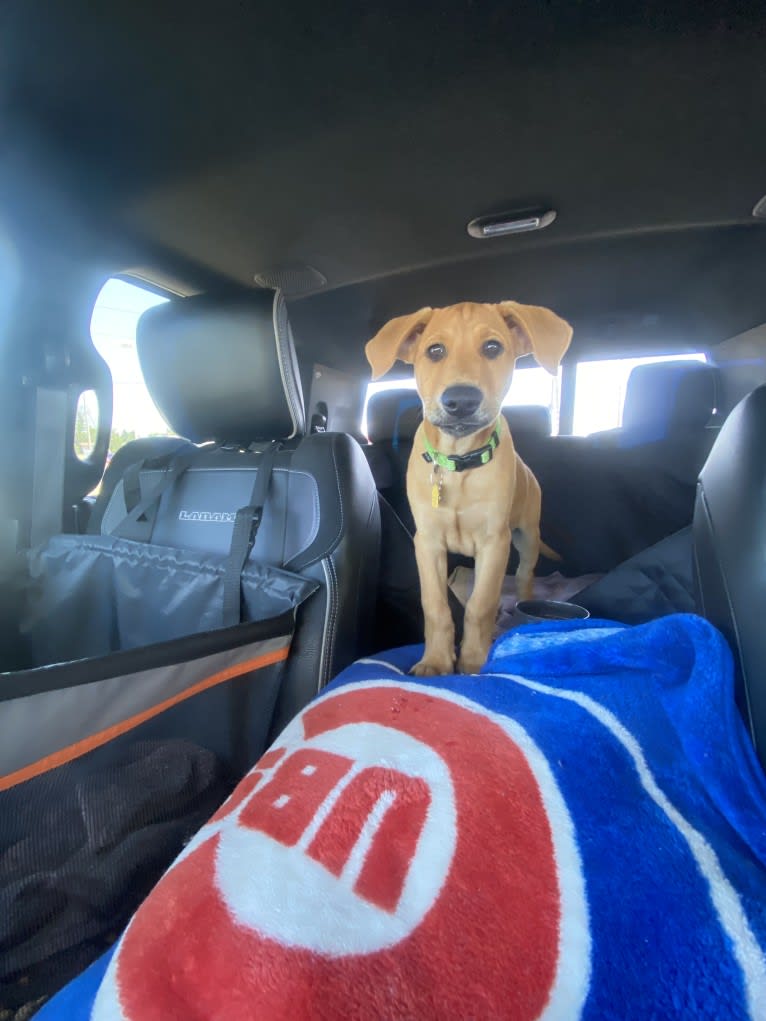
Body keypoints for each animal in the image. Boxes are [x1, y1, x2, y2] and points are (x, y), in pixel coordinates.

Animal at [369, 298, 571, 673]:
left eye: (492, 347)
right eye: (435, 350)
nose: (461, 400)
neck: (457, 463)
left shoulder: (495, 541)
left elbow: (481, 606)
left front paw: (473, 663)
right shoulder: (427, 542)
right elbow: (435, 606)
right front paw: (436, 661)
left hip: (527, 535)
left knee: (525, 576)